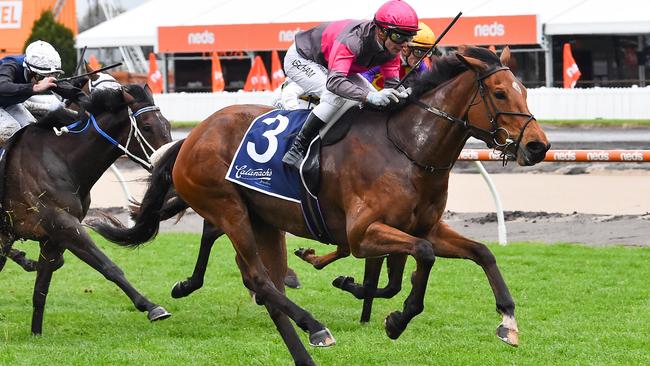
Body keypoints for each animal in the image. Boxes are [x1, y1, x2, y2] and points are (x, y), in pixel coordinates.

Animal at [0, 83, 172, 334]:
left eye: (167, 124)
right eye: (147, 126)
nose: (170, 163)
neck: (59, 160)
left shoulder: (53, 238)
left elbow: (41, 290)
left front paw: (36, 333)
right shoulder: (64, 224)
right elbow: (108, 266)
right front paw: (152, 307)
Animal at [90, 47, 548, 364]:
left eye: (526, 90)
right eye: (499, 92)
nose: (537, 146)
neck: (407, 148)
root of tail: (193, 136)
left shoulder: (424, 226)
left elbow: (481, 253)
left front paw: (507, 322)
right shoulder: (364, 234)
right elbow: (423, 255)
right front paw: (396, 319)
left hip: (263, 218)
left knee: (266, 279)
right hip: (228, 208)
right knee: (256, 277)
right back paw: (315, 327)